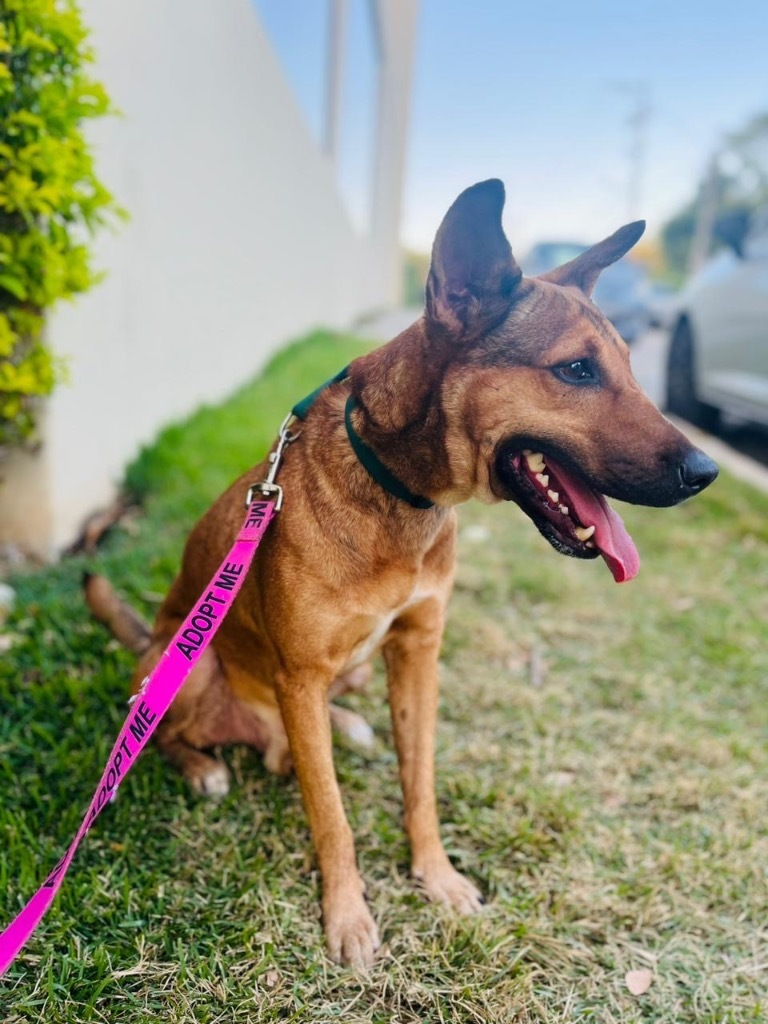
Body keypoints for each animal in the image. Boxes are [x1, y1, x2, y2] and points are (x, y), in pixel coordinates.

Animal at [87, 182, 720, 966]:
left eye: (631, 365)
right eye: (577, 369)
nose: (707, 472)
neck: (400, 492)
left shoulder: (417, 652)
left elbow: (419, 784)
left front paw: (436, 877)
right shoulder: (302, 675)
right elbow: (331, 815)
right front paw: (348, 917)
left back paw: (343, 726)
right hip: (189, 665)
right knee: (160, 730)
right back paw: (206, 766)